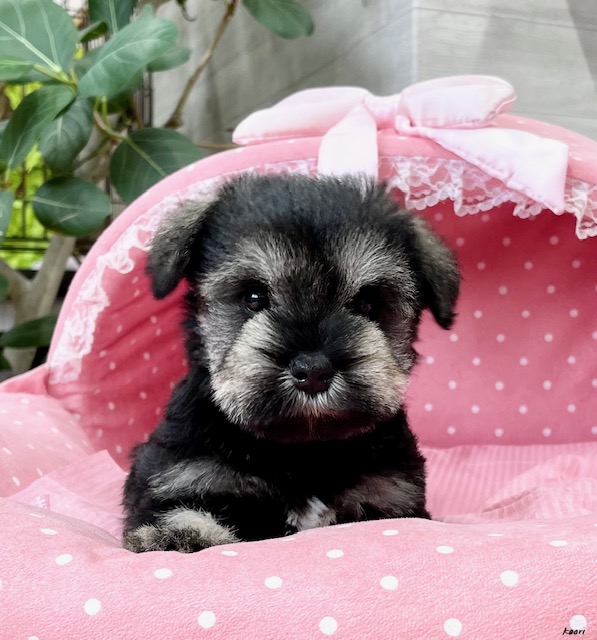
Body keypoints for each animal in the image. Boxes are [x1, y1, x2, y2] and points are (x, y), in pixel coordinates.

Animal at [122, 173, 460, 553]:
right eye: (253, 296)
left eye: (368, 303)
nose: (313, 371)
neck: (301, 451)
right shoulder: (185, 476)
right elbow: (183, 513)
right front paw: (175, 538)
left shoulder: (390, 493)